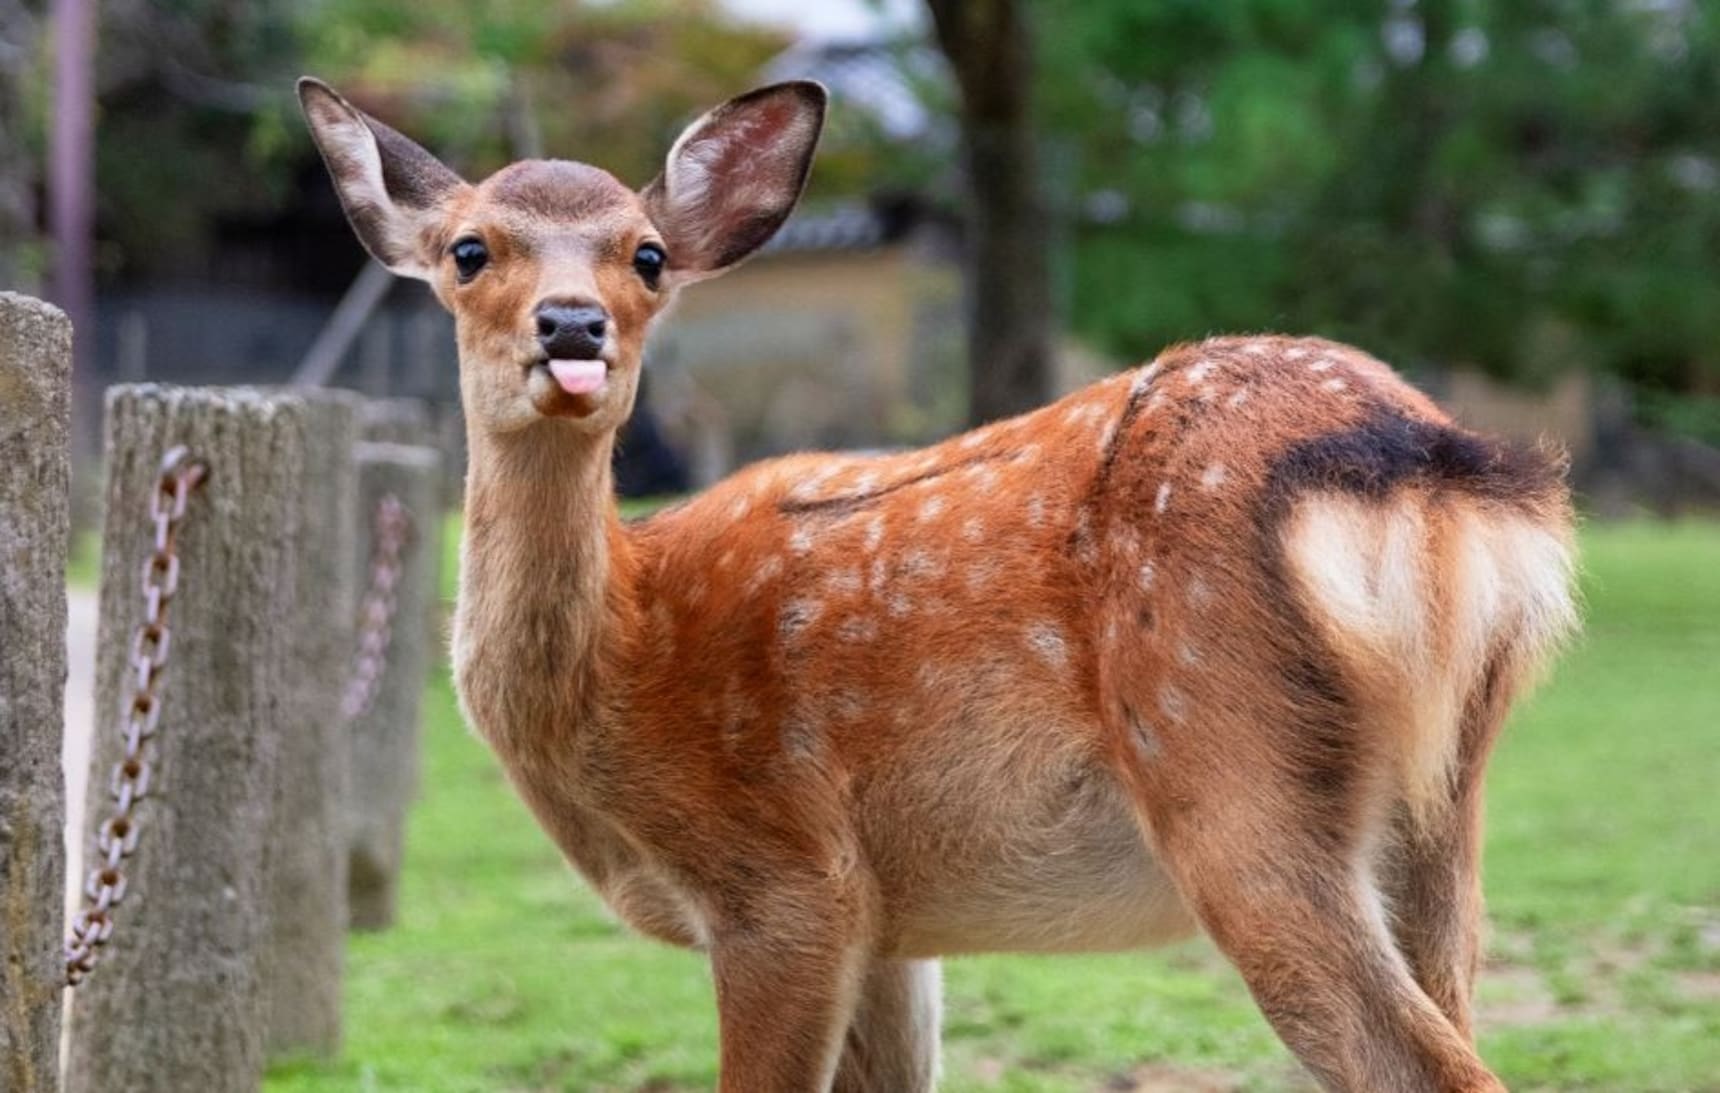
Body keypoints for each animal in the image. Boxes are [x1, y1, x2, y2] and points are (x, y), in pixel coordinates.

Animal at [299, 72, 1575, 1087]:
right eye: (469, 250)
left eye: (646, 256)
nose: (572, 328)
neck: (624, 655)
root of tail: (1429, 462)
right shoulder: (891, 923)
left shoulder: (785, 879)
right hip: (1440, 809)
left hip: (1226, 756)